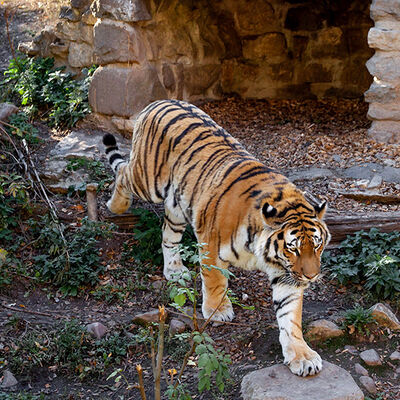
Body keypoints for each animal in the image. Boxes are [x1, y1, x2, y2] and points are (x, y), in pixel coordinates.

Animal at [103, 98, 332, 376]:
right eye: (293, 248)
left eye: (317, 246)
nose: (311, 277)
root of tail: (160, 101)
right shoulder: (210, 244)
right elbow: (214, 280)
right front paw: (218, 311)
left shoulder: (286, 275)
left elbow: (290, 316)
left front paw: (302, 356)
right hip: (148, 181)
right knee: (124, 172)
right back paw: (116, 205)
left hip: (177, 206)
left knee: (168, 233)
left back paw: (175, 270)